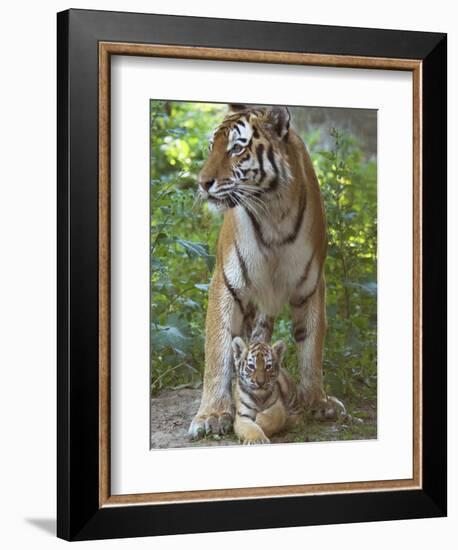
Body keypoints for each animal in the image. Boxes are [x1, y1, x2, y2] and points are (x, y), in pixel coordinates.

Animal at [188, 103, 346, 440]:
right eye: (211, 148)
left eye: (236, 148)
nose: (202, 182)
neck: (274, 212)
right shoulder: (226, 282)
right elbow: (218, 349)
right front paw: (212, 415)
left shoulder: (312, 285)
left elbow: (311, 346)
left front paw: (317, 401)